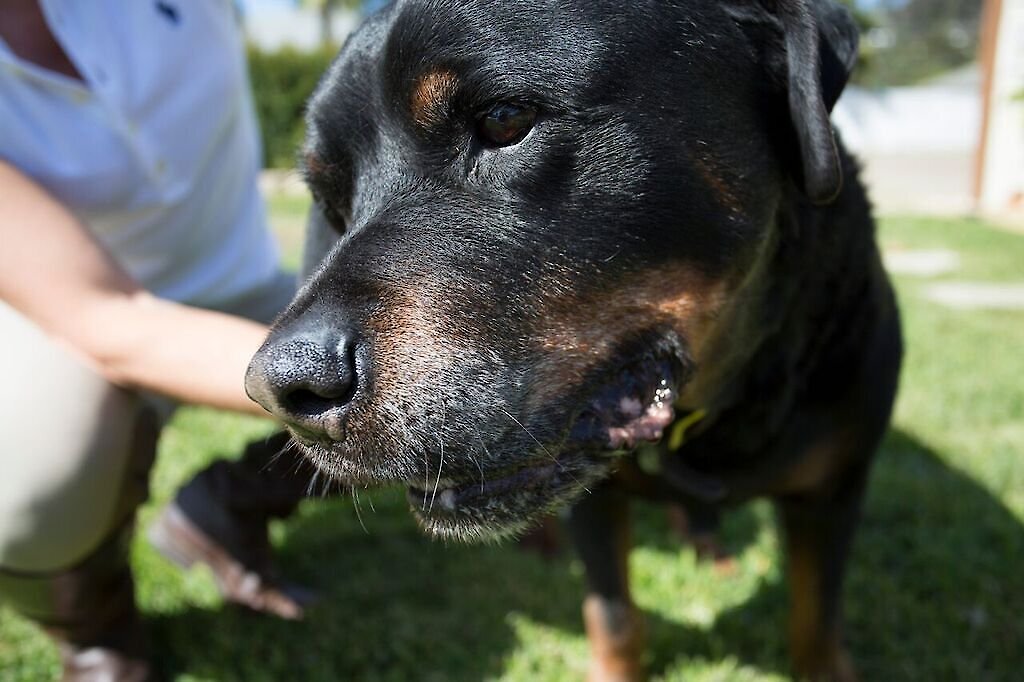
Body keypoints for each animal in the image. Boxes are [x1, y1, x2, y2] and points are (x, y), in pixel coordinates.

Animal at [247, 2, 905, 675]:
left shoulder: (834, 490)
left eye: (506, 118)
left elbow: (816, 621)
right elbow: (613, 617)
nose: (282, 388)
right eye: (332, 202)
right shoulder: (595, 497)